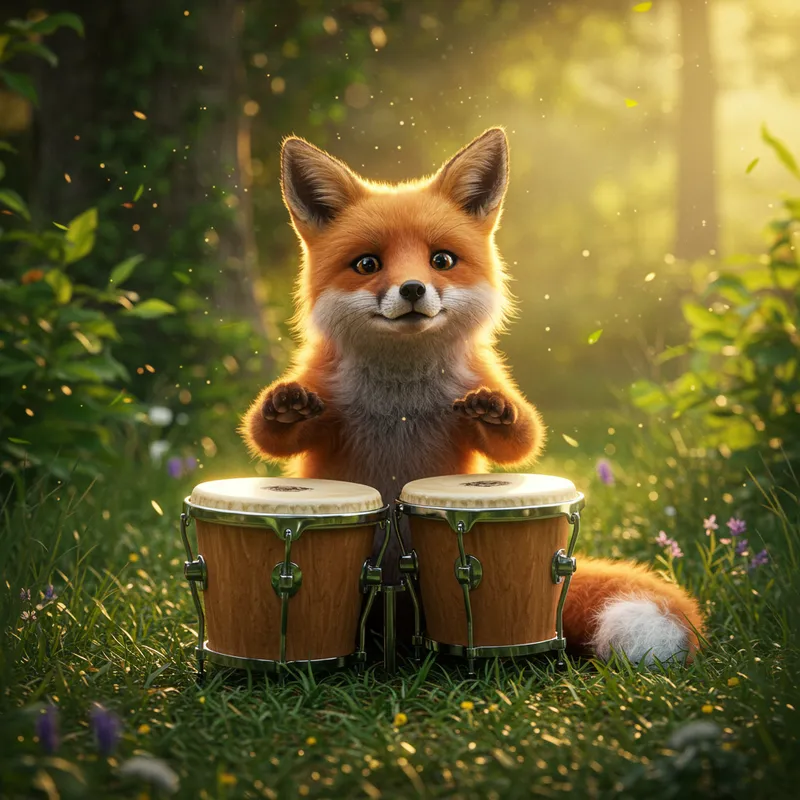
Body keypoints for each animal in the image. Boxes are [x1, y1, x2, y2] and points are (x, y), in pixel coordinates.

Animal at [241, 128, 704, 665]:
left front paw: (496, 411)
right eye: (367, 264)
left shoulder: (484, 383)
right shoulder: (321, 393)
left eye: (441, 259)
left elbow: (522, 438)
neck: (400, 398)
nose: (413, 288)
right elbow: (267, 436)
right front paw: (285, 407)